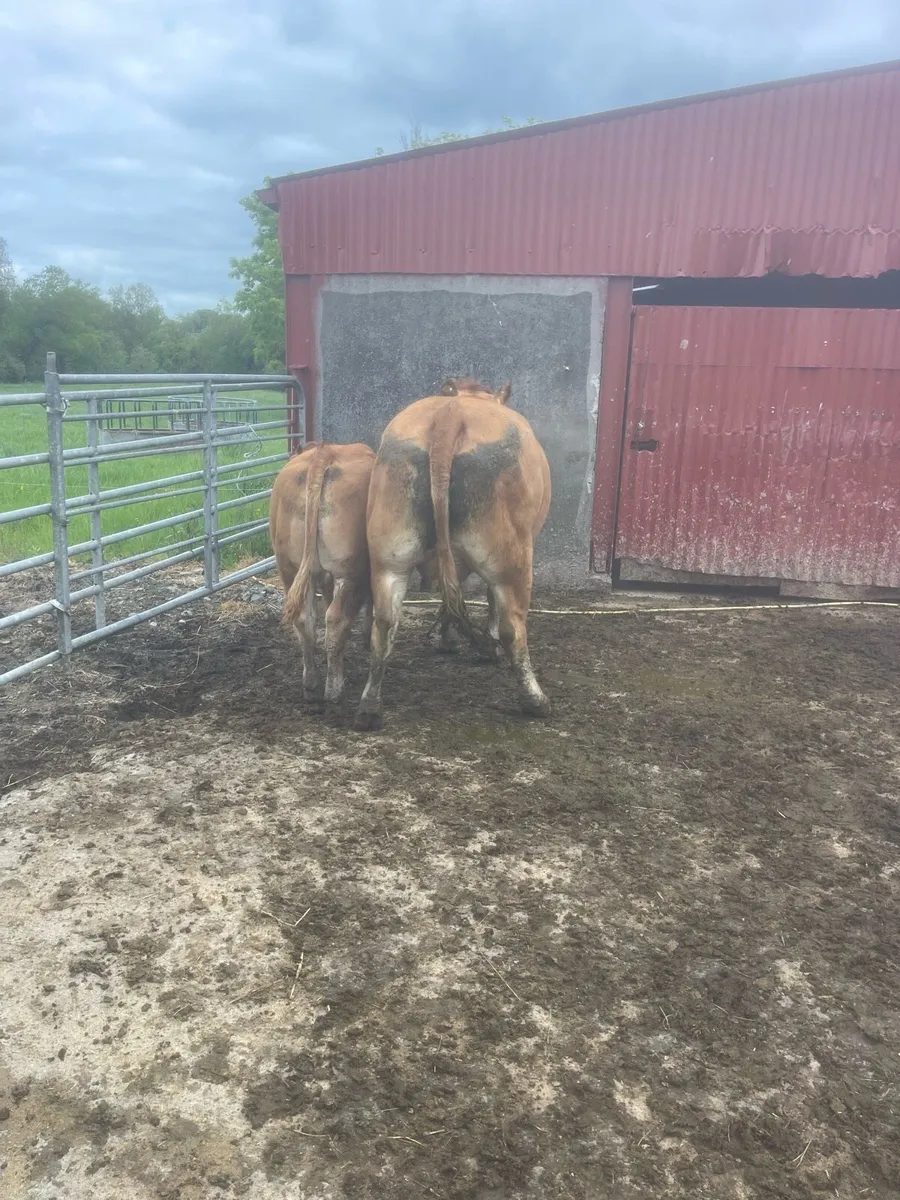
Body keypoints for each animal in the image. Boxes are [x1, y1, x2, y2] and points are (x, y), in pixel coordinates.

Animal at [269, 441, 375, 706]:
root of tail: (324, 453)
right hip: (349, 570)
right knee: (335, 619)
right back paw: (334, 687)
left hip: (289, 566)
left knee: (304, 619)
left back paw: (311, 680)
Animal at [355, 377, 552, 731]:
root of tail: (451, 414)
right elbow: (486, 600)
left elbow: (449, 596)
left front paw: (448, 641)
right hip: (511, 560)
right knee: (513, 628)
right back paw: (535, 699)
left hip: (390, 556)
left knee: (385, 623)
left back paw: (369, 708)